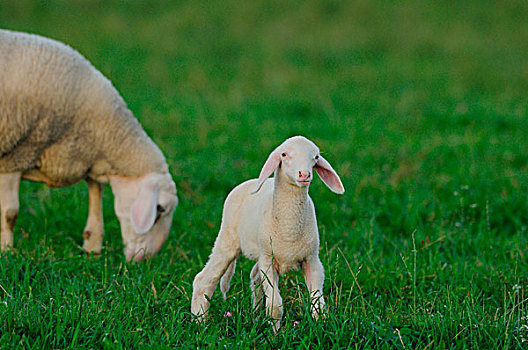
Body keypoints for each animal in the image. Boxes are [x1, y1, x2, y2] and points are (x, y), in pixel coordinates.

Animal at [0, 29, 178, 260]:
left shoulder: (89, 159)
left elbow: (96, 197)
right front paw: (6, 251)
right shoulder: (15, 156)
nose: (144, 261)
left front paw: (92, 247)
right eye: (160, 209)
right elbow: (9, 213)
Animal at [192, 135, 344, 330]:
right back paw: (199, 322)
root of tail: (249, 182)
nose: (304, 175)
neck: (289, 230)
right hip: (227, 238)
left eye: (316, 157)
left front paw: (321, 326)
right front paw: (276, 332)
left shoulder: (312, 260)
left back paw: (255, 315)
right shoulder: (268, 261)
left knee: (254, 277)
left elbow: (317, 302)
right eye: (284, 154)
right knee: (204, 280)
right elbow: (275, 305)